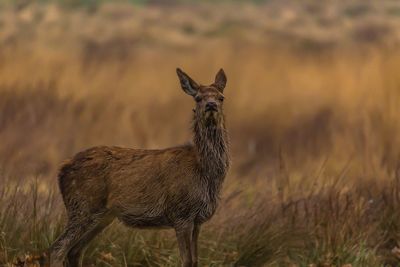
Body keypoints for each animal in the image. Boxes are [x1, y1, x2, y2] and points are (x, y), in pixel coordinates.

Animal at [49, 68, 231, 266]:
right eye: (198, 98)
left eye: (221, 97)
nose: (211, 105)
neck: (204, 172)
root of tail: (62, 169)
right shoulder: (181, 214)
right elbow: (187, 261)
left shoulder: (198, 220)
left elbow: (195, 261)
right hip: (82, 205)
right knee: (56, 250)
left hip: (102, 215)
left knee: (74, 251)